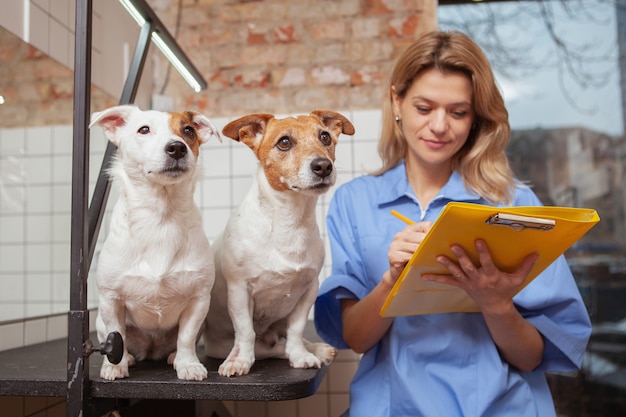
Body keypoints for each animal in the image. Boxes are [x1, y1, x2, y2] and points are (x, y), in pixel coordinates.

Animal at [90, 105, 219, 380]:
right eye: (144, 129)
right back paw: (128, 357)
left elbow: (186, 337)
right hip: (99, 322)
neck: (161, 216)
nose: (177, 147)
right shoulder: (110, 299)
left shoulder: (199, 300)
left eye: (188, 131)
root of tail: (150, 349)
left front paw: (188, 364)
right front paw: (115, 366)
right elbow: (116, 333)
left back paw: (173, 356)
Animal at [202, 109, 354, 376]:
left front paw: (301, 355)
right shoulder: (239, 291)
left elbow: (296, 330)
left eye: (325, 137)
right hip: (219, 344)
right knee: (269, 347)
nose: (323, 166)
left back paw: (316, 349)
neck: (289, 222)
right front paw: (240, 361)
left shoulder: (309, 289)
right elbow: (246, 332)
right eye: (284, 142)